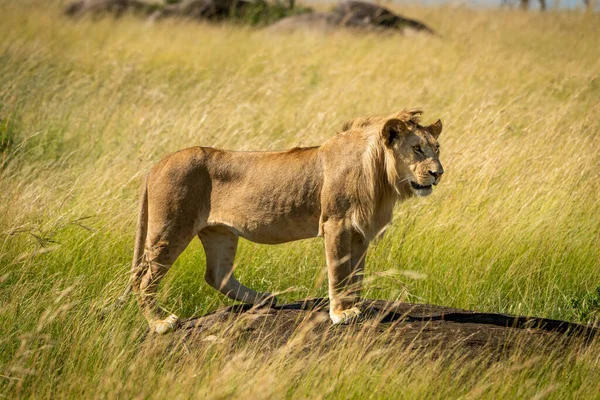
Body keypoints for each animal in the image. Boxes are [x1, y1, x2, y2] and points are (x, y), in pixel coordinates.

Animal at [129, 108, 442, 332]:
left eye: (436, 148)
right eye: (417, 149)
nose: (438, 173)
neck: (381, 176)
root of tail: (156, 164)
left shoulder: (360, 232)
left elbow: (356, 275)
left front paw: (357, 308)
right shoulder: (336, 224)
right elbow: (339, 271)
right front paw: (340, 314)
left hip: (219, 233)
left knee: (217, 274)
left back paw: (263, 299)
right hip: (171, 229)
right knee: (145, 278)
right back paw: (160, 324)